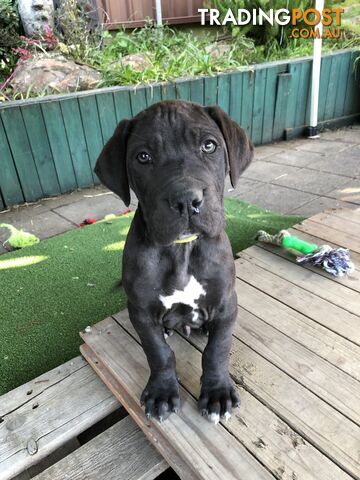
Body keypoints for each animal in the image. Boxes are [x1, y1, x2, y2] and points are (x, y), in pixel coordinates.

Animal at [95, 100, 253, 424]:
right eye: (143, 157)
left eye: (209, 145)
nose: (186, 200)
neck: (182, 251)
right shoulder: (141, 311)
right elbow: (158, 352)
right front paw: (162, 392)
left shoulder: (226, 303)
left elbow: (218, 349)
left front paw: (217, 392)